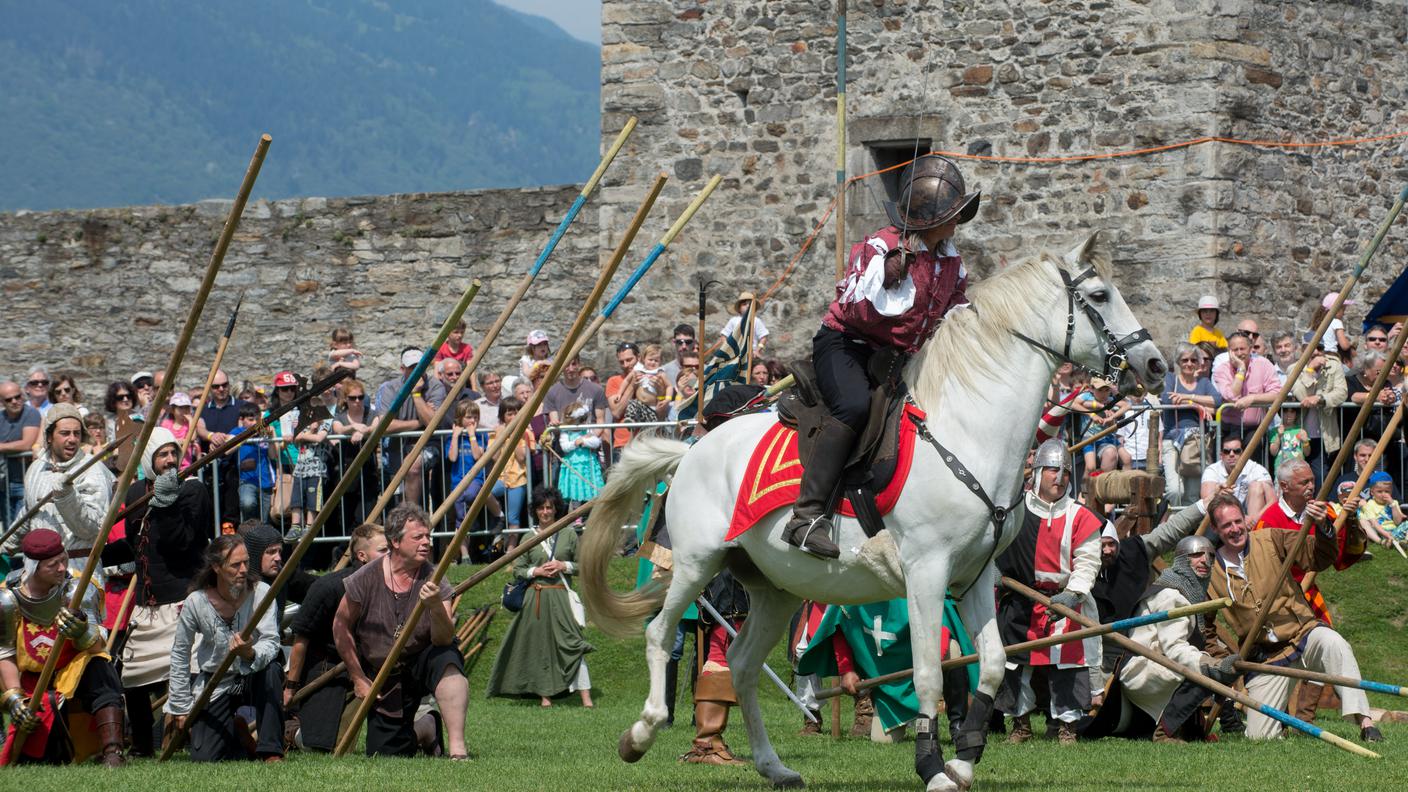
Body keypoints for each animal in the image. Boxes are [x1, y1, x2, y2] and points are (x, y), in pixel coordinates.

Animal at [580, 231, 1165, 783]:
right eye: (1099, 295)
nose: (1154, 363)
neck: (967, 429)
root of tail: (694, 447)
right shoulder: (926, 572)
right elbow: (927, 672)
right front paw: (934, 767)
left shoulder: (977, 576)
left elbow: (994, 664)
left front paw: (965, 760)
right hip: (697, 563)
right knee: (659, 634)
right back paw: (640, 734)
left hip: (775, 589)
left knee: (743, 667)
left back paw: (773, 767)